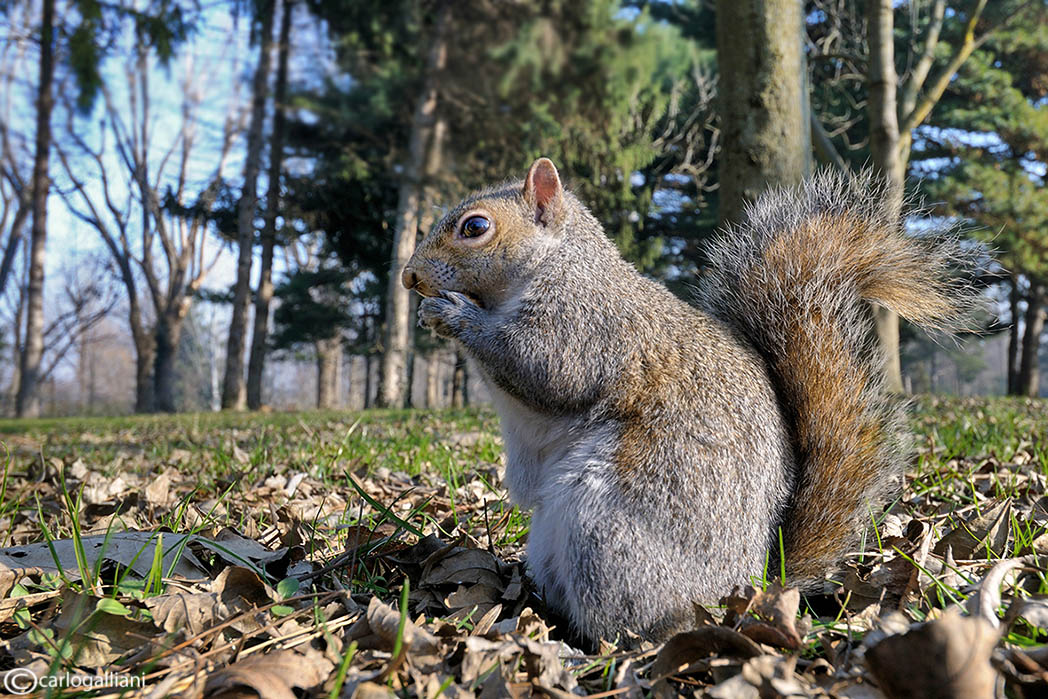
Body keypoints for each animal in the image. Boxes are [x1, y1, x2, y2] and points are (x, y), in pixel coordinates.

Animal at [398, 156, 972, 641]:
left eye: (475, 227)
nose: (409, 277)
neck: (555, 265)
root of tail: (746, 589)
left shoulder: (587, 325)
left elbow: (546, 370)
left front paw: (453, 315)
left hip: (605, 534)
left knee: (633, 625)